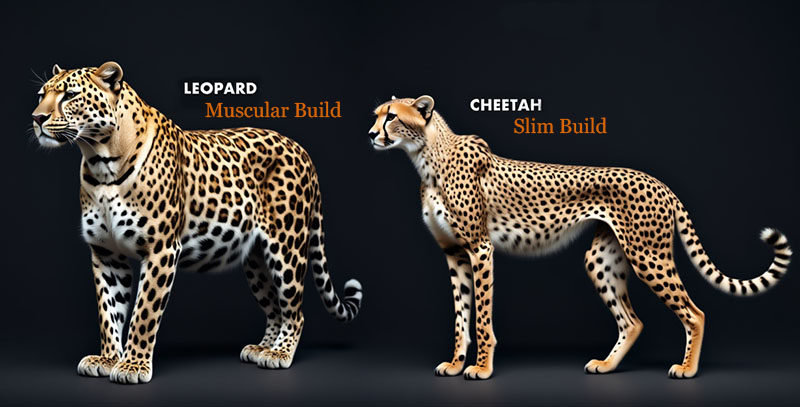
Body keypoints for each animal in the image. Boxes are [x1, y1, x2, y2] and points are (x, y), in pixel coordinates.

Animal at [30, 62, 363, 384]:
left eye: (70, 95)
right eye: (41, 95)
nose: (37, 118)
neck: (101, 164)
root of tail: (302, 151)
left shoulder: (162, 250)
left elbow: (143, 313)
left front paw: (133, 366)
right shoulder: (105, 253)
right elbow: (109, 311)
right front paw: (109, 358)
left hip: (286, 246)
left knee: (294, 309)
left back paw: (279, 353)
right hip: (256, 258)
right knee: (275, 306)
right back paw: (262, 348)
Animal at [368, 95, 791, 380]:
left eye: (392, 117)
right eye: (377, 115)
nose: (371, 134)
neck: (426, 157)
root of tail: (659, 183)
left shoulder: (480, 249)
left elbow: (481, 317)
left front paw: (482, 369)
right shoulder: (454, 253)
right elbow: (461, 316)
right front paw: (456, 364)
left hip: (648, 255)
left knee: (694, 311)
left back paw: (687, 369)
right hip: (602, 258)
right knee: (632, 320)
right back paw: (607, 364)